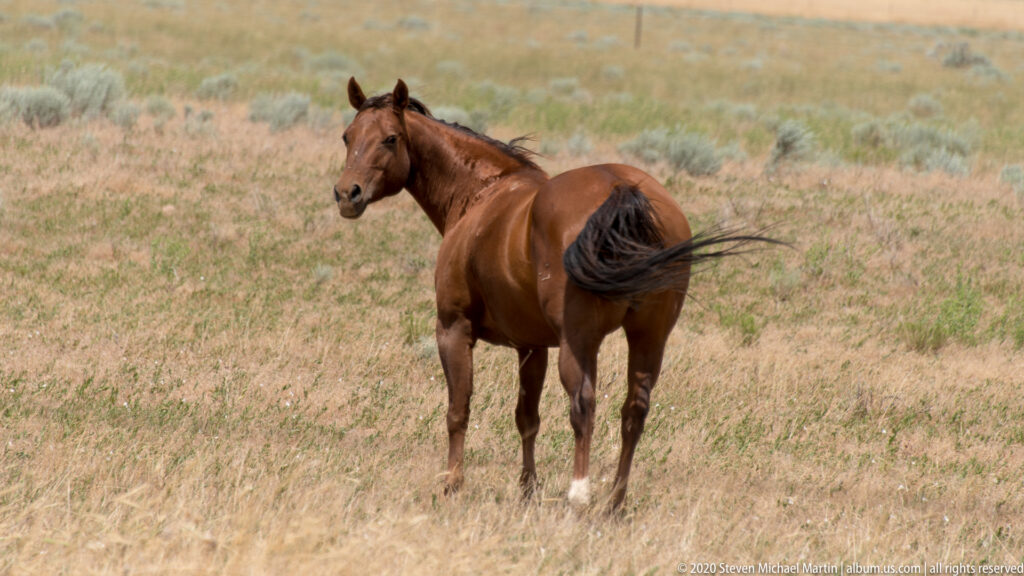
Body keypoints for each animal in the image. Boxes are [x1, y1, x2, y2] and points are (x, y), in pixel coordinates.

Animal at [333, 78, 783, 511]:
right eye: (347, 135)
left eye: (390, 138)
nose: (346, 194)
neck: (481, 194)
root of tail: (621, 190)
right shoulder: (532, 346)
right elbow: (526, 418)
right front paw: (527, 490)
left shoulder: (454, 329)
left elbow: (458, 410)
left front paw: (452, 486)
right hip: (648, 337)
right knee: (634, 411)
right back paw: (614, 502)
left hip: (579, 340)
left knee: (584, 406)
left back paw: (579, 495)